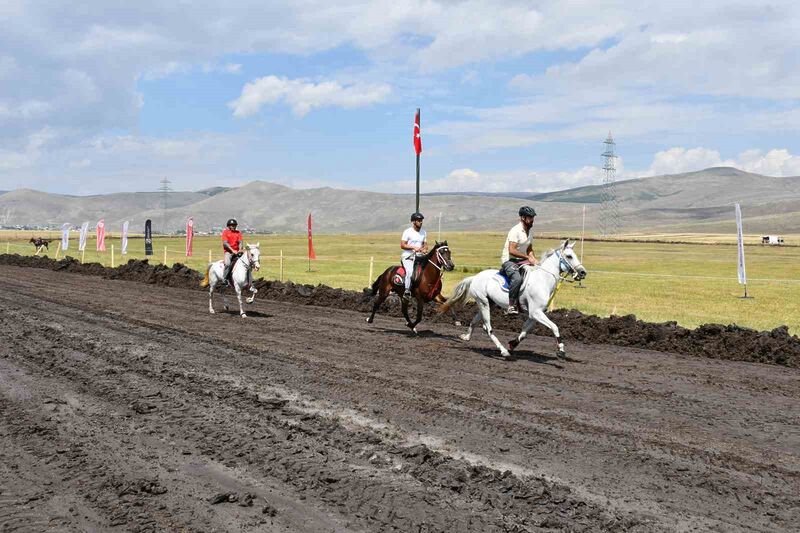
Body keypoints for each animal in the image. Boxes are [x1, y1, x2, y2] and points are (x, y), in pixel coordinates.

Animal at [438, 240, 588, 358]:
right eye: (569, 256)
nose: (582, 272)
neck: (542, 280)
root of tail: (475, 277)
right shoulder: (536, 312)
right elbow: (555, 327)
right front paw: (561, 350)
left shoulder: (534, 315)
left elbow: (524, 332)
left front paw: (512, 344)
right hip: (483, 303)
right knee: (488, 328)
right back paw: (503, 351)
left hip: (488, 303)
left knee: (477, 323)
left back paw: (466, 337)